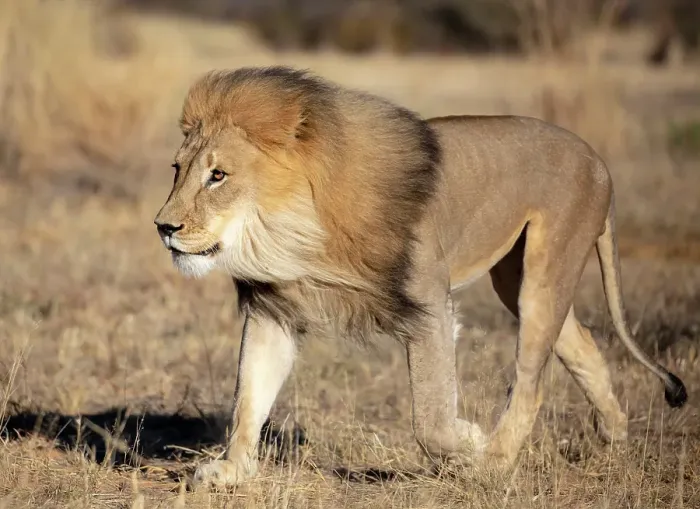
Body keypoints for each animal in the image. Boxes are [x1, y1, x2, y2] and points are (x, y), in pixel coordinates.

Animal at [154, 66, 687, 489]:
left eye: (218, 176)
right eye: (176, 169)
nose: (164, 227)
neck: (291, 234)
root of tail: (598, 160)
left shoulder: (429, 303)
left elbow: (429, 416)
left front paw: (468, 445)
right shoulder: (273, 308)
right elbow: (249, 395)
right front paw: (231, 471)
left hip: (545, 269)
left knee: (532, 380)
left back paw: (494, 465)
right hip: (513, 278)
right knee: (585, 347)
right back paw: (614, 440)